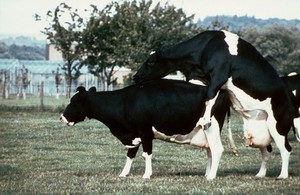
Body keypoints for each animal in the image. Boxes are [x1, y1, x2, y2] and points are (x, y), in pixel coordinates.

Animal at [60, 79, 230, 178]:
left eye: (74, 102)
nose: (62, 117)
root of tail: (221, 92)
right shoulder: (134, 135)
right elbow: (130, 155)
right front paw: (123, 174)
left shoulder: (146, 132)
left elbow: (146, 154)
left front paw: (147, 175)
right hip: (206, 131)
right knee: (210, 151)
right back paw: (207, 174)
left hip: (212, 127)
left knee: (217, 150)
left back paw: (211, 177)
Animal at [134, 29, 300, 180]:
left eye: (150, 62)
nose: (136, 77)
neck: (207, 46)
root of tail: (289, 95)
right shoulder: (202, 78)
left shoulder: (219, 75)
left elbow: (210, 97)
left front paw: (206, 119)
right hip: (261, 128)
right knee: (266, 151)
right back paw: (260, 174)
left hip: (277, 124)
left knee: (286, 149)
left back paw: (282, 175)